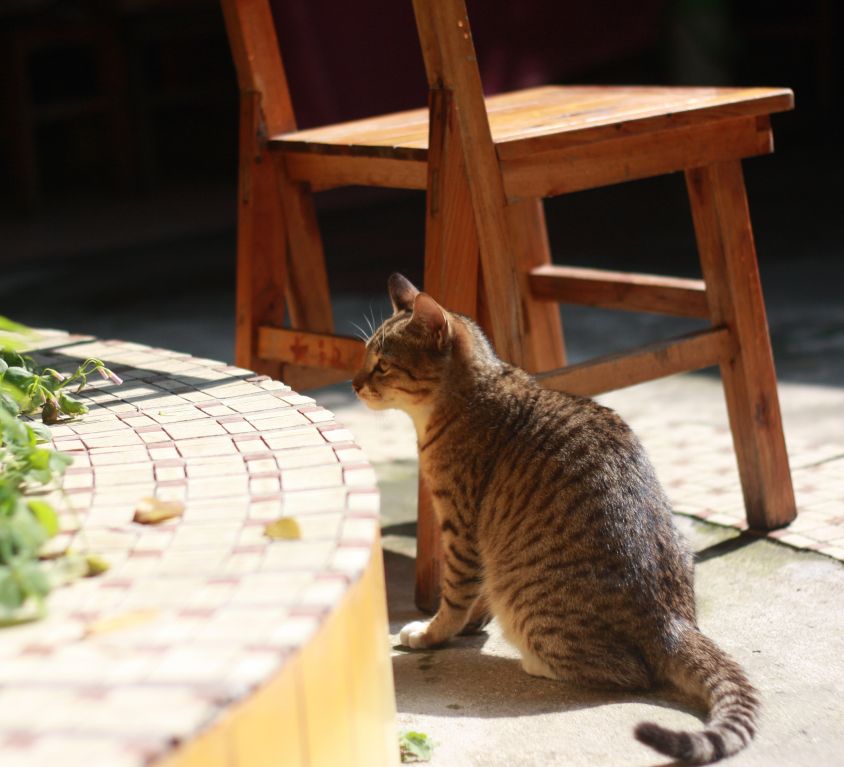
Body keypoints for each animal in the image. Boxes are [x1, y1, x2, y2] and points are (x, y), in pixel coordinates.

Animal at [352, 274, 760, 760]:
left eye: (382, 365)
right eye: (366, 358)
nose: (352, 384)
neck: (472, 394)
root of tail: (672, 623)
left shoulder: (460, 528)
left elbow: (453, 598)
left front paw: (434, 633)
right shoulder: (479, 544)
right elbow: (475, 595)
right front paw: (471, 624)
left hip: (533, 606)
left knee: (628, 673)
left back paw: (536, 662)